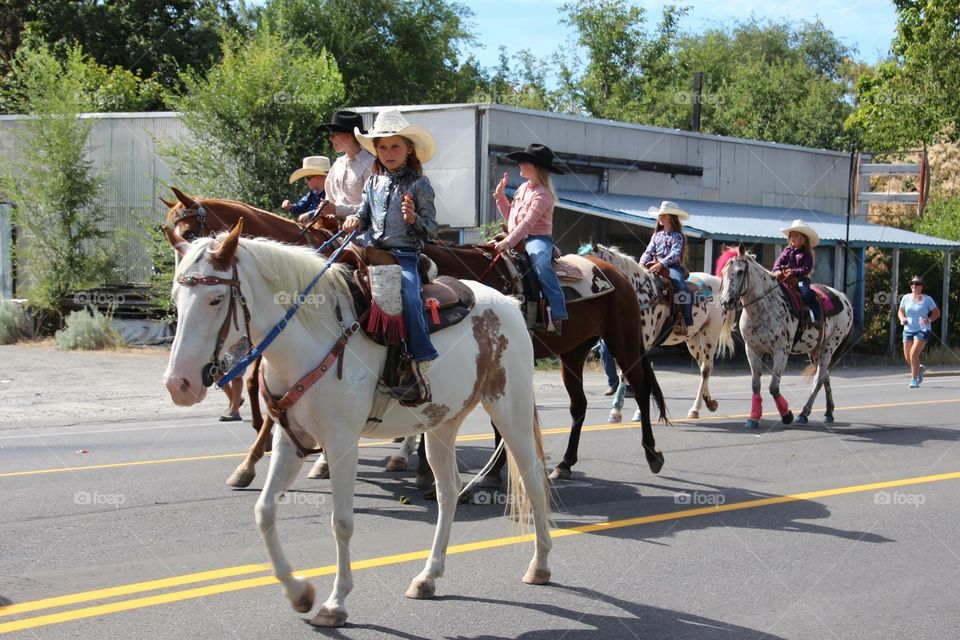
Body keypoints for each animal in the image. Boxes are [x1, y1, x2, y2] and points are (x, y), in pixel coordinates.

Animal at [162, 224, 552, 624]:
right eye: (176, 297)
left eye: (214, 299)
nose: (179, 384)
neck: (308, 340)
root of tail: (509, 303)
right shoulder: (290, 440)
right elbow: (264, 511)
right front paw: (299, 593)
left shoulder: (341, 442)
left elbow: (342, 522)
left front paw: (335, 603)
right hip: (442, 423)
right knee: (448, 492)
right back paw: (427, 577)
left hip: (510, 410)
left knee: (533, 479)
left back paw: (539, 565)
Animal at [580, 244, 732, 420]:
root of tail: (717, 282)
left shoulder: (643, 343)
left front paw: (618, 411)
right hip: (693, 339)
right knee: (703, 367)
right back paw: (709, 402)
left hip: (710, 334)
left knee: (706, 369)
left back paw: (695, 409)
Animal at [716, 245, 852, 430]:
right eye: (724, 271)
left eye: (739, 271)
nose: (726, 301)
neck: (764, 307)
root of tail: (844, 299)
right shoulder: (752, 350)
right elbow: (755, 385)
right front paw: (753, 418)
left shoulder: (780, 352)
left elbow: (773, 387)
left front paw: (787, 415)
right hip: (815, 351)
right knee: (825, 376)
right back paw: (828, 412)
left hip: (829, 347)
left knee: (818, 380)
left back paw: (803, 414)